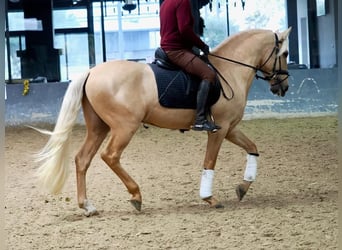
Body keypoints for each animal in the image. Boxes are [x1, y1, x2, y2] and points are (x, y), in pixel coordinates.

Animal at [35, 26, 292, 215]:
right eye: (286, 54)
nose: (283, 87)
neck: (228, 69)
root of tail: (91, 72)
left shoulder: (230, 128)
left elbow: (252, 147)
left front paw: (243, 187)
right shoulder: (218, 130)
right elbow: (209, 162)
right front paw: (209, 197)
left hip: (99, 127)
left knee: (82, 159)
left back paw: (88, 206)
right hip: (124, 127)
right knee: (110, 156)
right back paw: (136, 195)